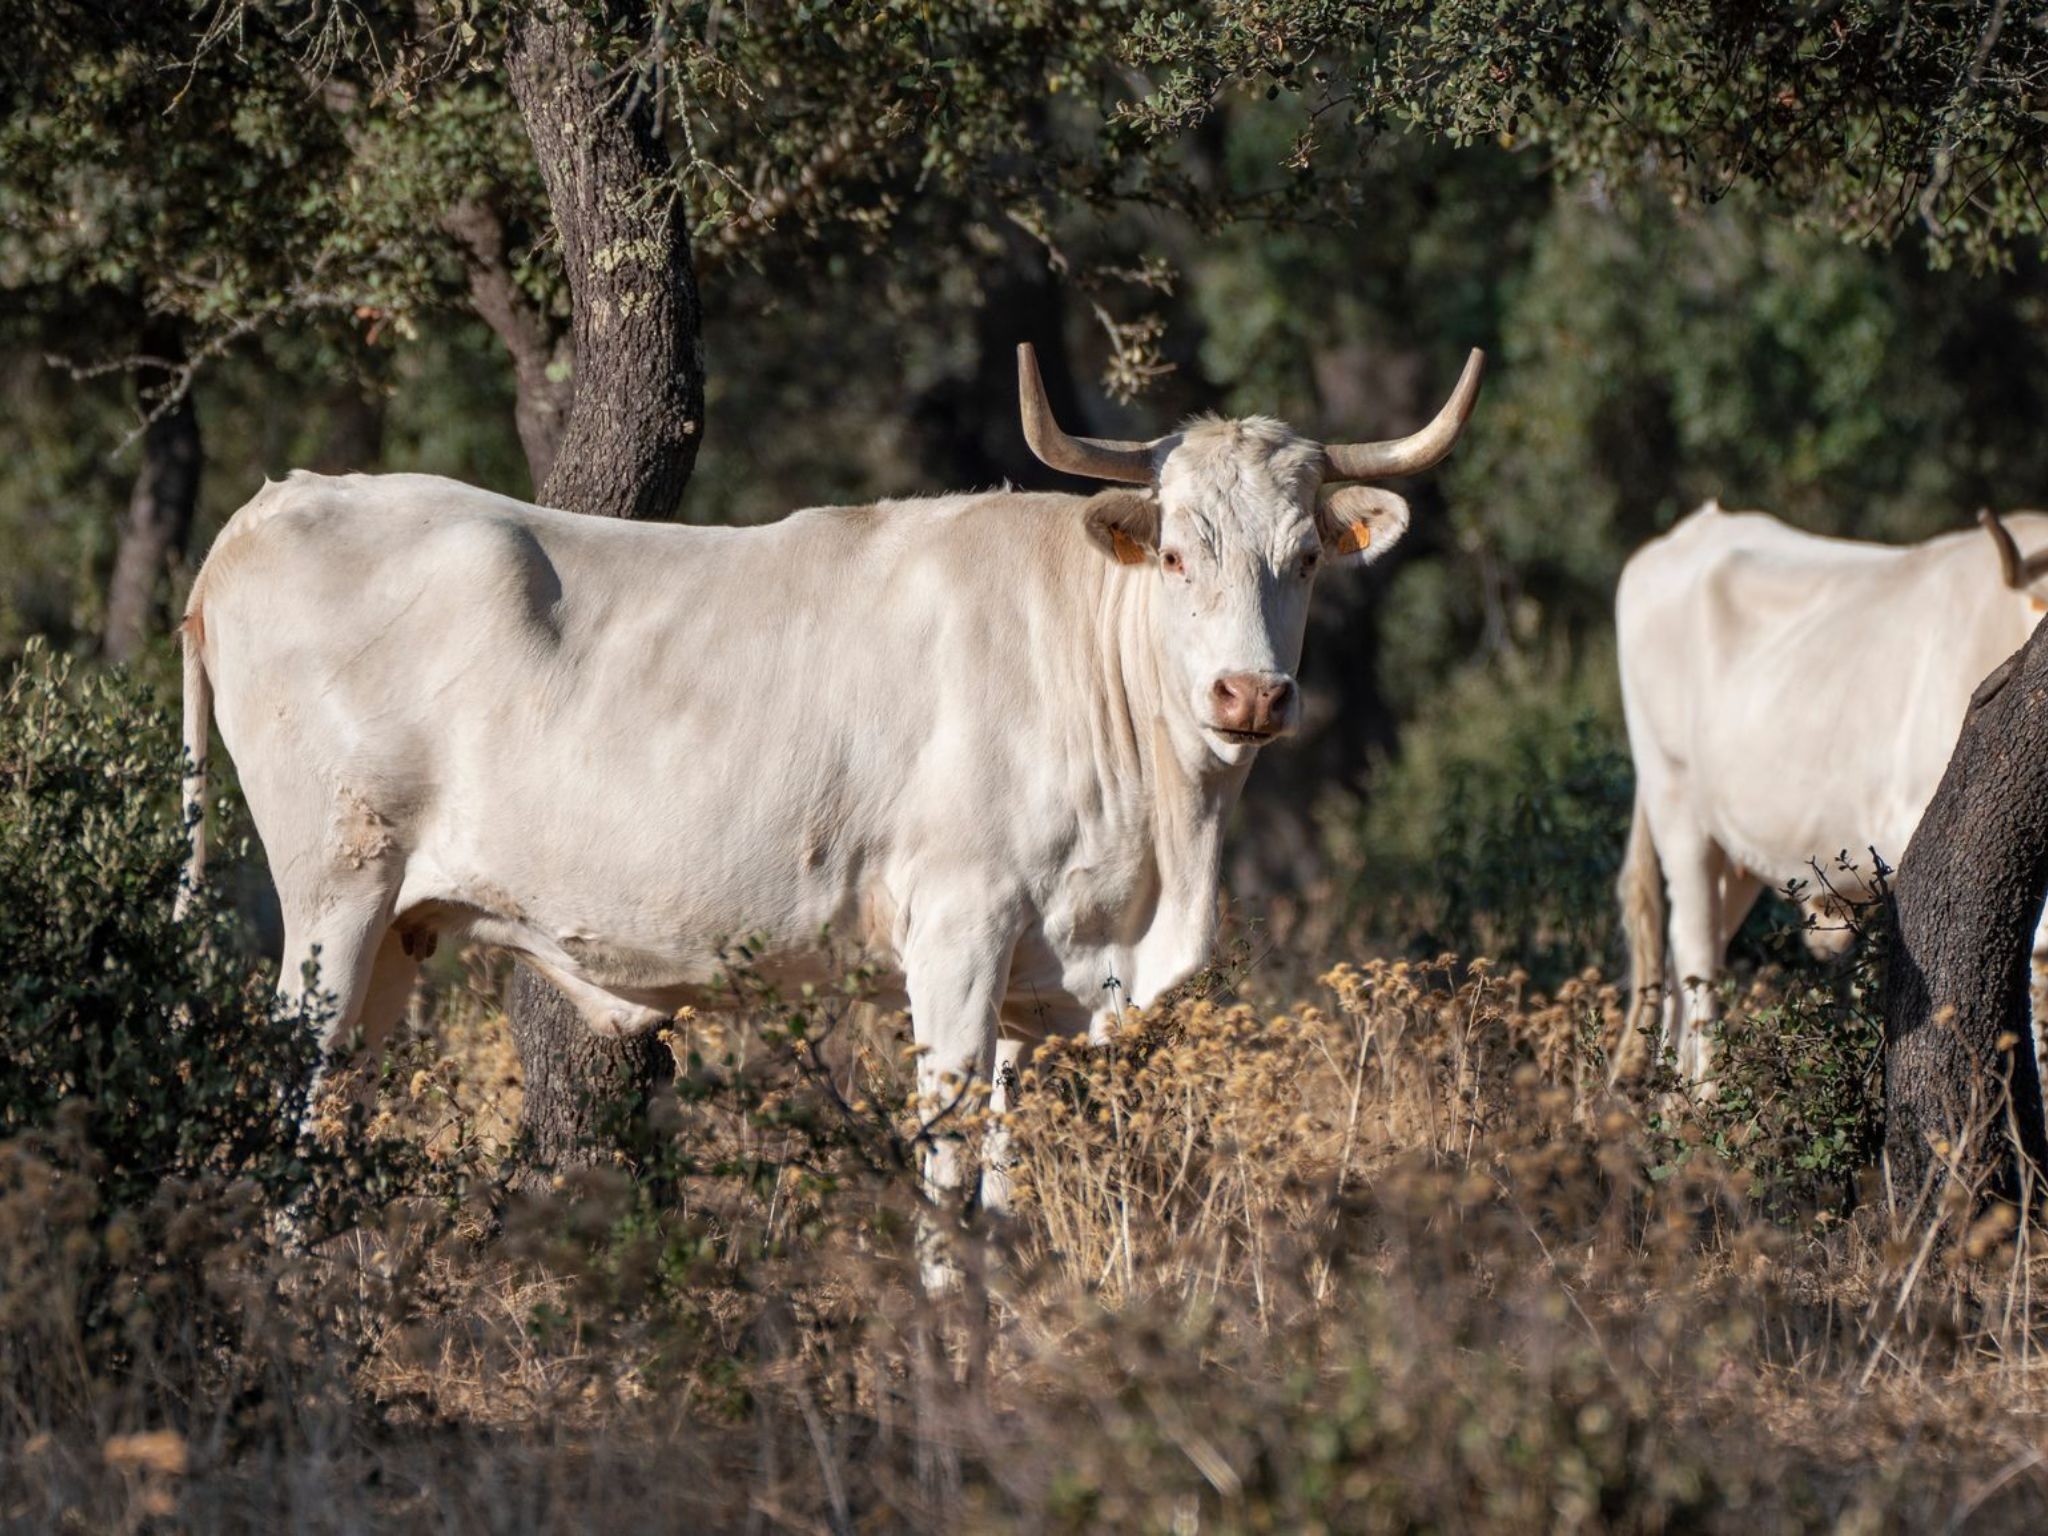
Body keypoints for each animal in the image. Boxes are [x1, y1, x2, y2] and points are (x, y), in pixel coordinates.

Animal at [184, 346, 1482, 1204]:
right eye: (1173, 554)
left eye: (1304, 557)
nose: (1249, 697)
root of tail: (278, 502)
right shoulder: (954, 940)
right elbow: (945, 1182)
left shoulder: (1034, 986)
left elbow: (1002, 1189)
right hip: (331, 897)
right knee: (290, 1113)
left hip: (395, 934)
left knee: (337, 1115)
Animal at [1613, 505, 2048, 1081]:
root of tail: (1699, 524)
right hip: (1677, 803)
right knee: (1696, 956)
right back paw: (1702, 1092)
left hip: (1734, 849)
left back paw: (1672, 1094)